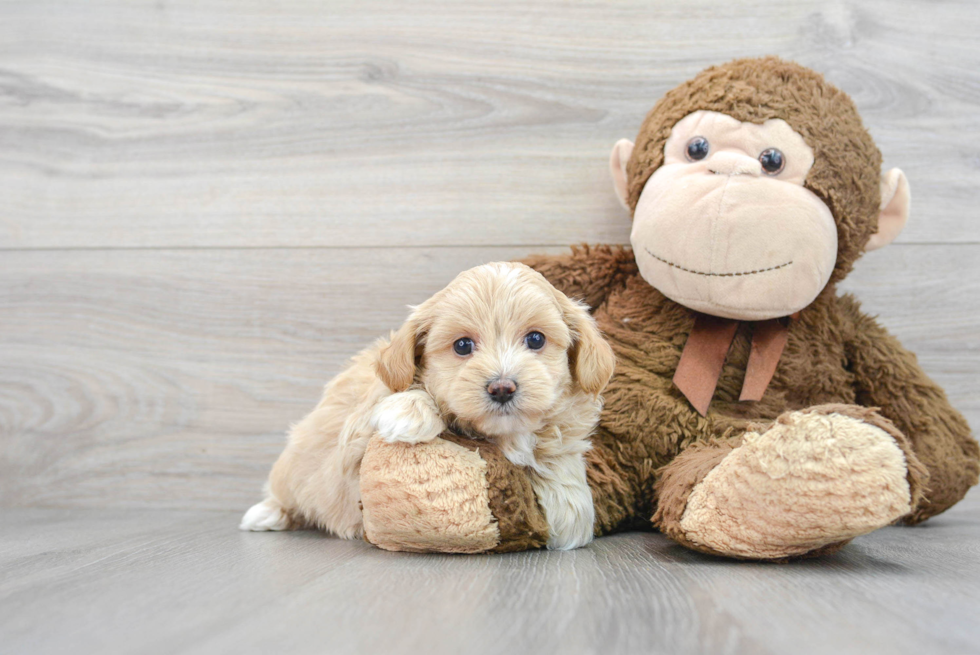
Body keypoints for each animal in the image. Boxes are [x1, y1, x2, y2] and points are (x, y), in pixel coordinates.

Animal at [239, 262, 612, 548]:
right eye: (462, 346)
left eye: (536, 339)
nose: (502, 387)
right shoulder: (351, 442)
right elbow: (397, 401)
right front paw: (408, 410)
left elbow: (567, 494)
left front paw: (566, 498)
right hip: (294, 462)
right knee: (285, 492)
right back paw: (266, 513)